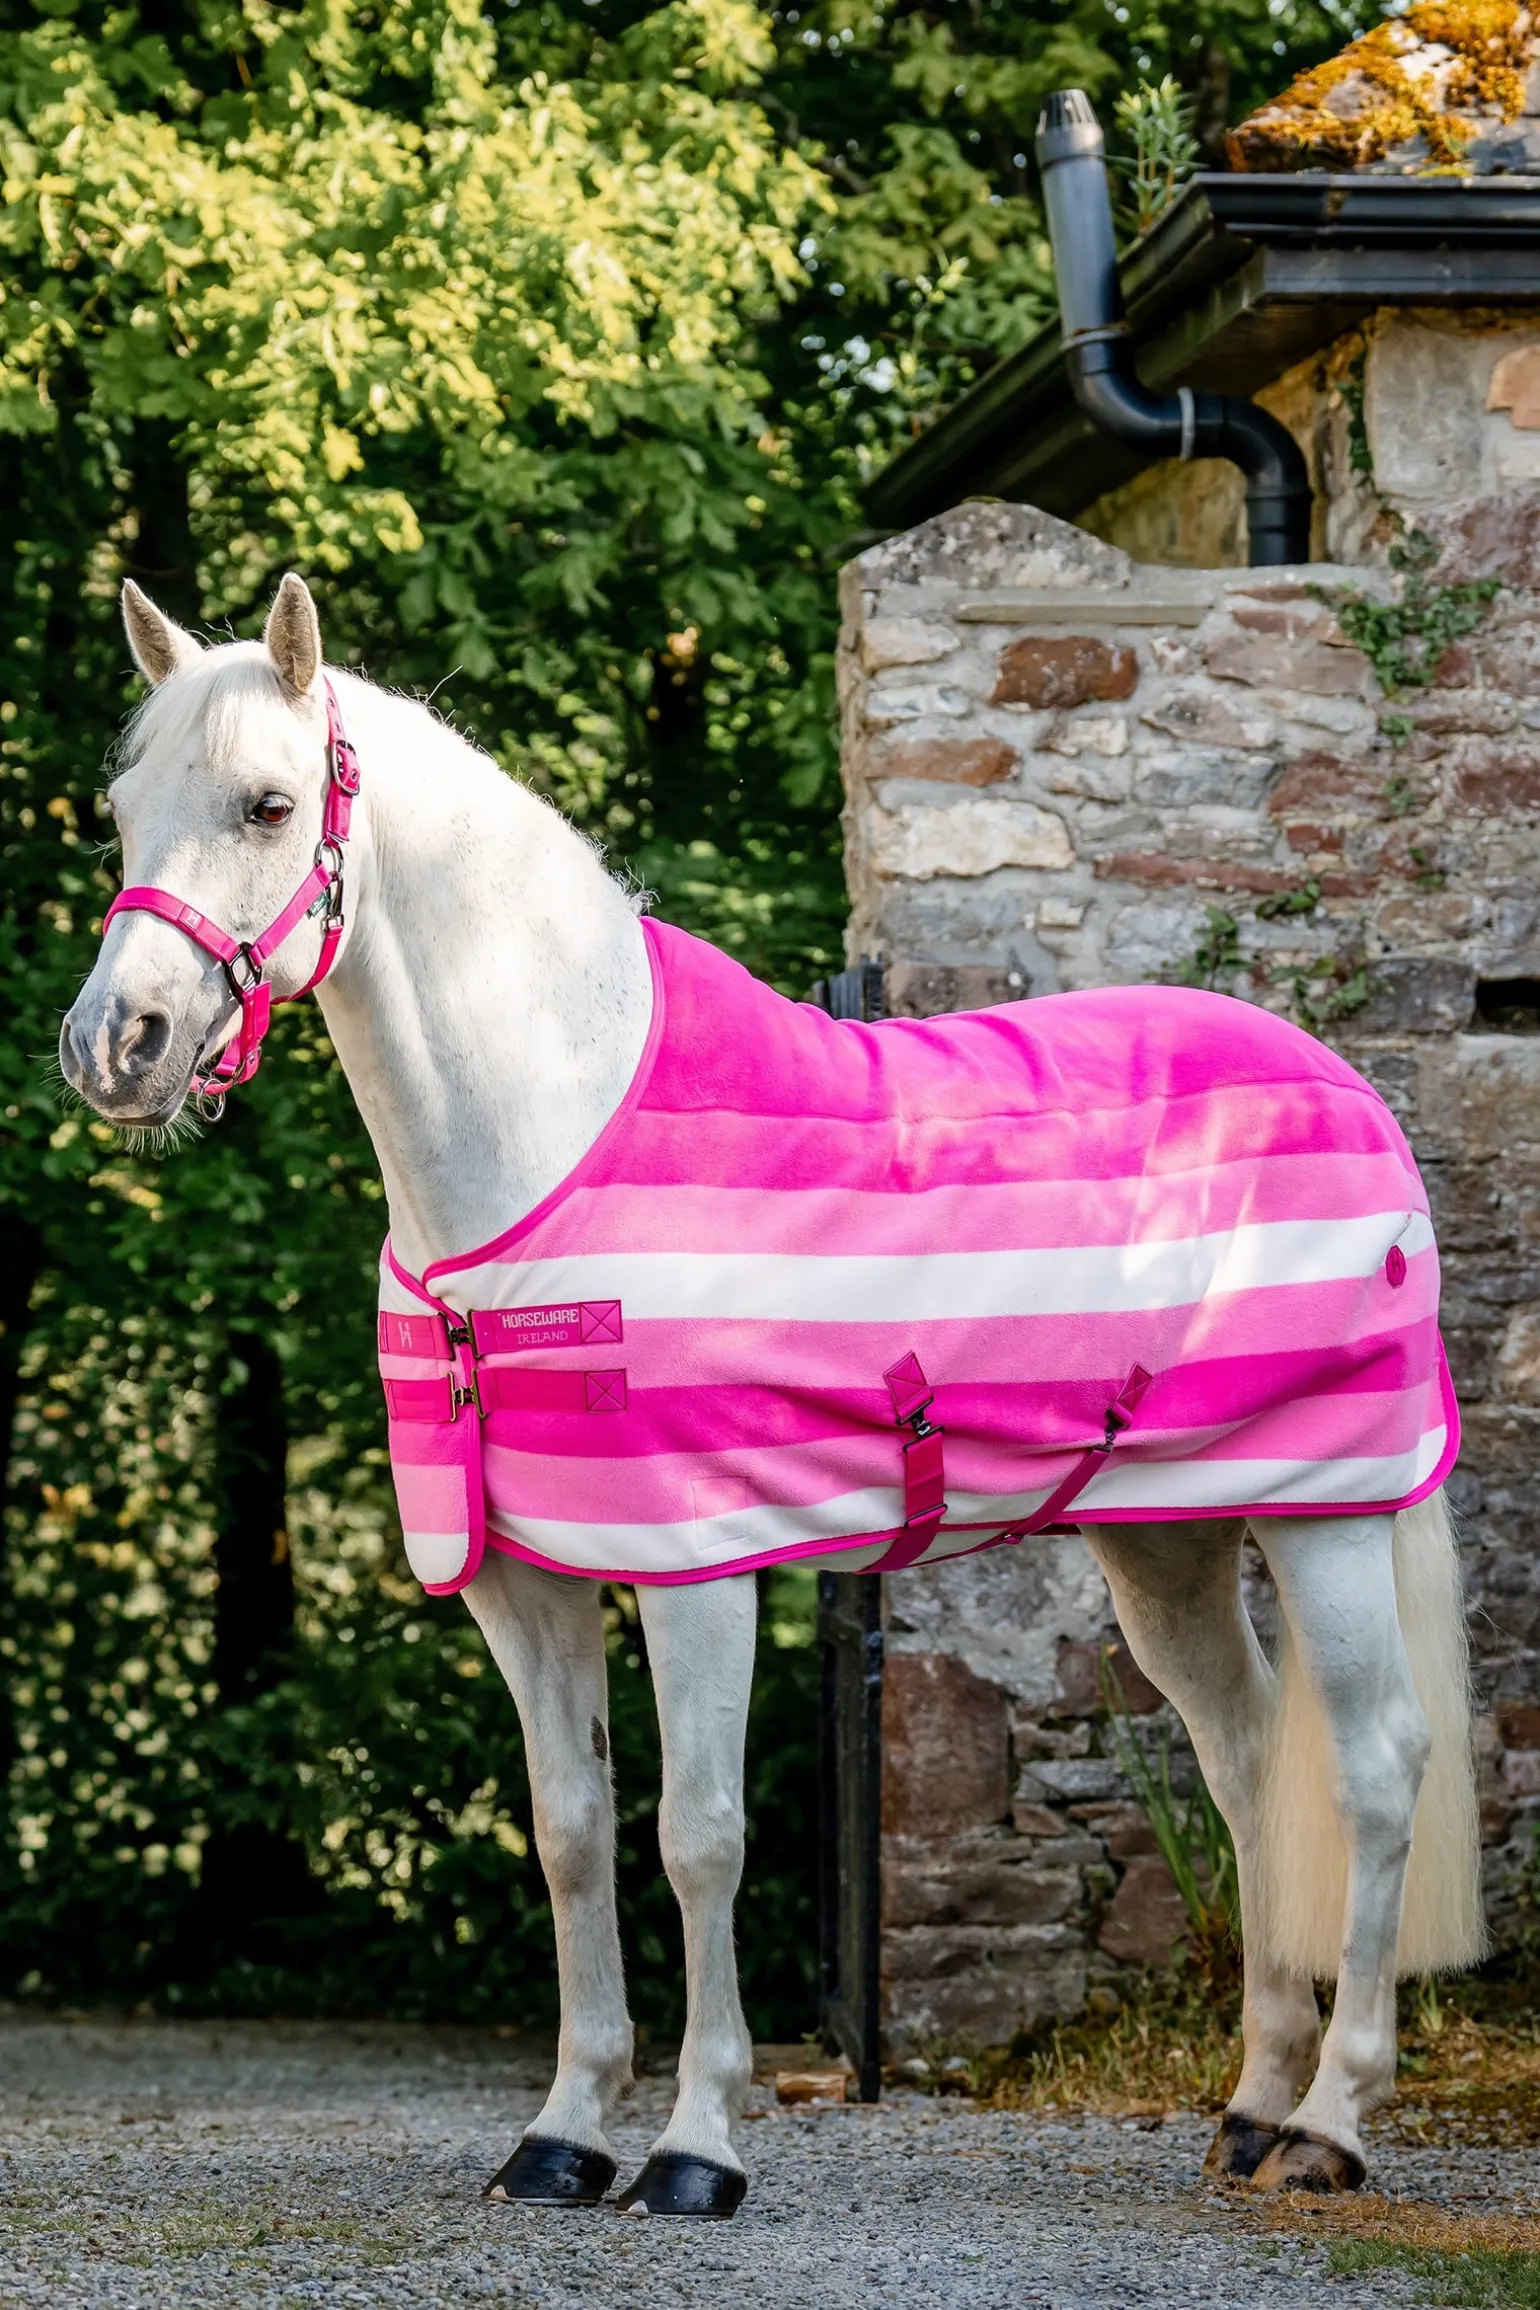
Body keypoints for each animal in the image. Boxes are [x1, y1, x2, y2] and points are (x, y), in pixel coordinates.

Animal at [59, 572, 1485, 2214]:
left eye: (269, 803)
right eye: (122, 810)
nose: (113, 1047)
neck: (548, 1142)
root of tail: (1347, 1087)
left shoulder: (699, 1567)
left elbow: (701, 1837)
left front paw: (695, 2146)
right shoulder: (524, 1581)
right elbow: (569, 1831)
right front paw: (562, 2133)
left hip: (1327, 1512)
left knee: (1372, 1768)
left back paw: (1329, 2123)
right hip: (1169, 1537)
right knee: (1246, 1756)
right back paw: (1250, 2104)